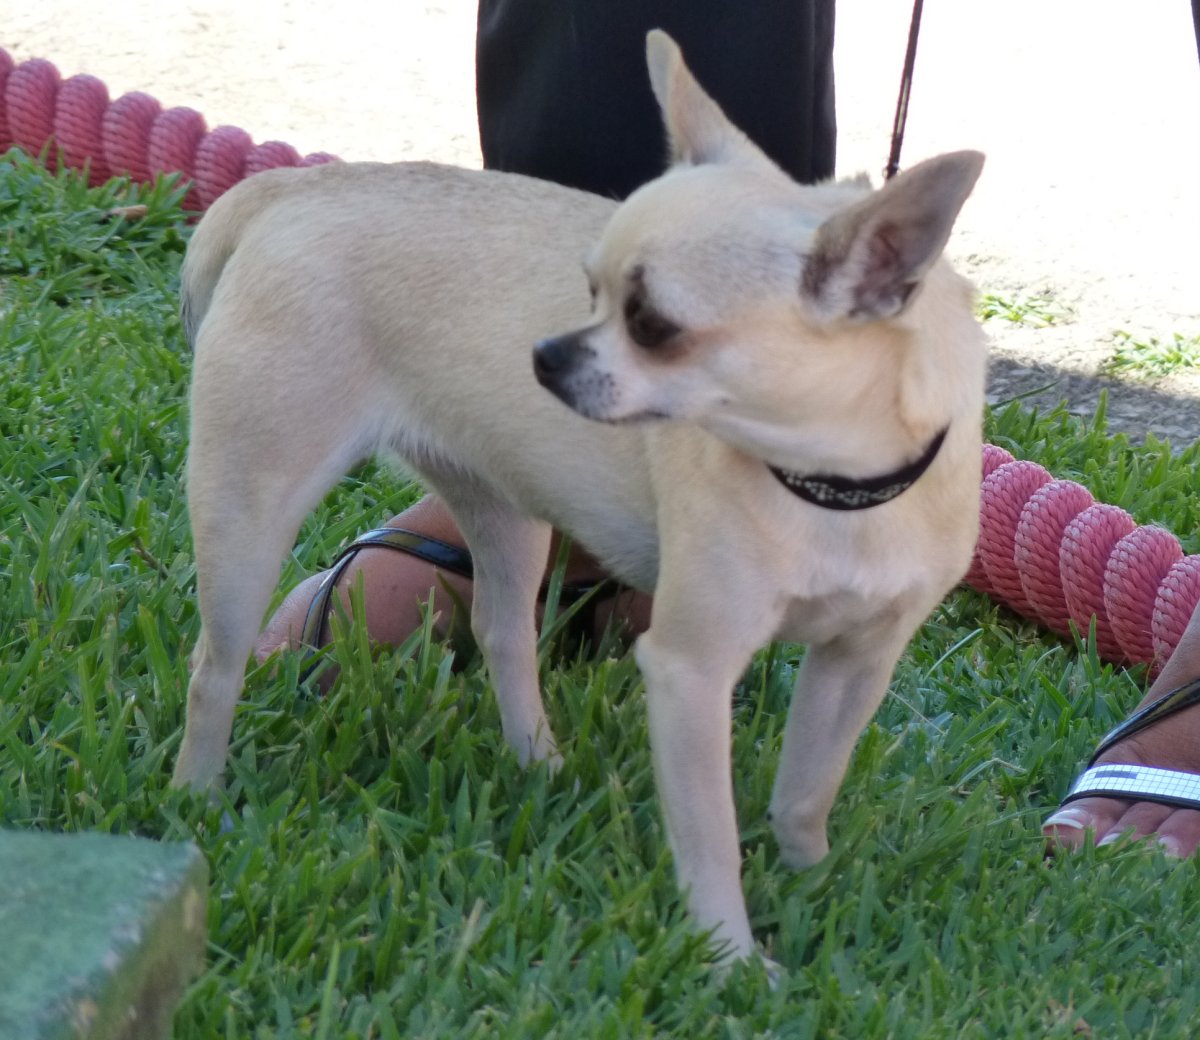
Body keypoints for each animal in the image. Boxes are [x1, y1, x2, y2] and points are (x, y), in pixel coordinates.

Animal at [172, 30, 985, 967]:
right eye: (588, 286)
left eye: (655, 326)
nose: (544, 352)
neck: (832, 489)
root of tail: (291, 187)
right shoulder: (690, 672)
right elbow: (709, 834)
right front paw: (732, 957)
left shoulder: (856, 664)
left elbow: (808, 789)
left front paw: (812, 883)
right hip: (250, 508)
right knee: (215, 667)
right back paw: (197, 800)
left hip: (504, 513)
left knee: (501, 629)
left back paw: (539, 763)